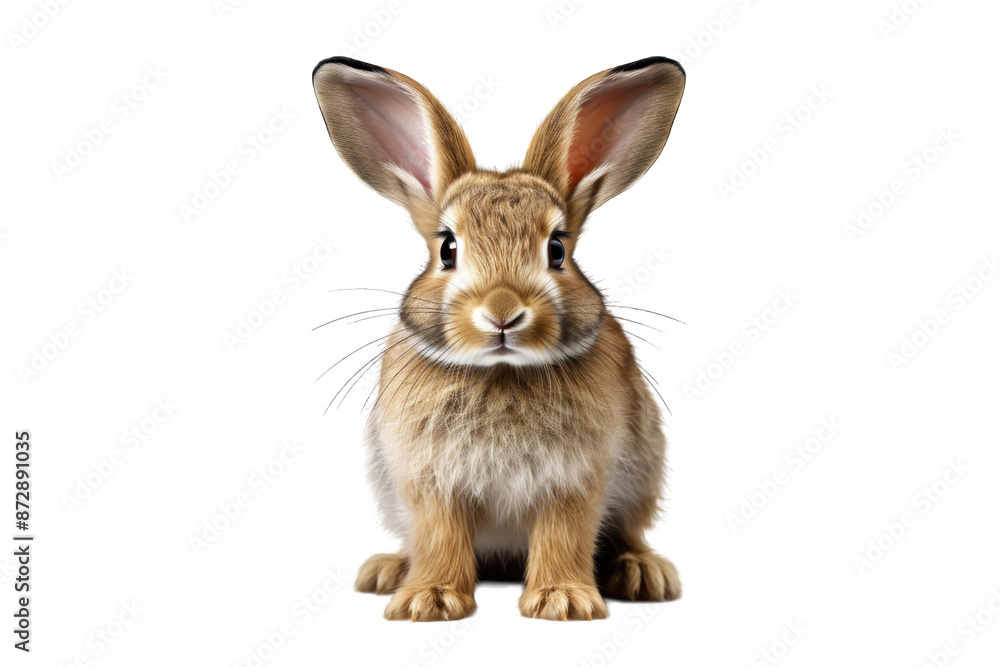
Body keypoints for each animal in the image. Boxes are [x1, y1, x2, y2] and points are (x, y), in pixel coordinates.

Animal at [312, 55, 685, 621]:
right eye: (447, 249)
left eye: (557, 249)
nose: (503, 313)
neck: (502, 372)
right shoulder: (431, 484)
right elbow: (440, 537)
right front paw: (428, 599)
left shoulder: (572, 481)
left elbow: (564, 534)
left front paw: (563, 601)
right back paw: (388, 570)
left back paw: (643, 573)